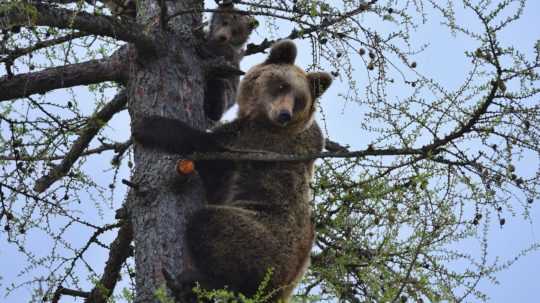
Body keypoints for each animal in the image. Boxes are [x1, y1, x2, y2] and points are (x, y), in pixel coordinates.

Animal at [133, 39, 332, 302]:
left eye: (299, 99)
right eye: (282, 85)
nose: (284, 115)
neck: (258, 118)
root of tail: (281, 290)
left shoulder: (260, 145)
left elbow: (214, 154)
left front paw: (150, 125)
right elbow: (213, 110)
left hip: (265, 239)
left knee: (210, 224)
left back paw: (194, 282)